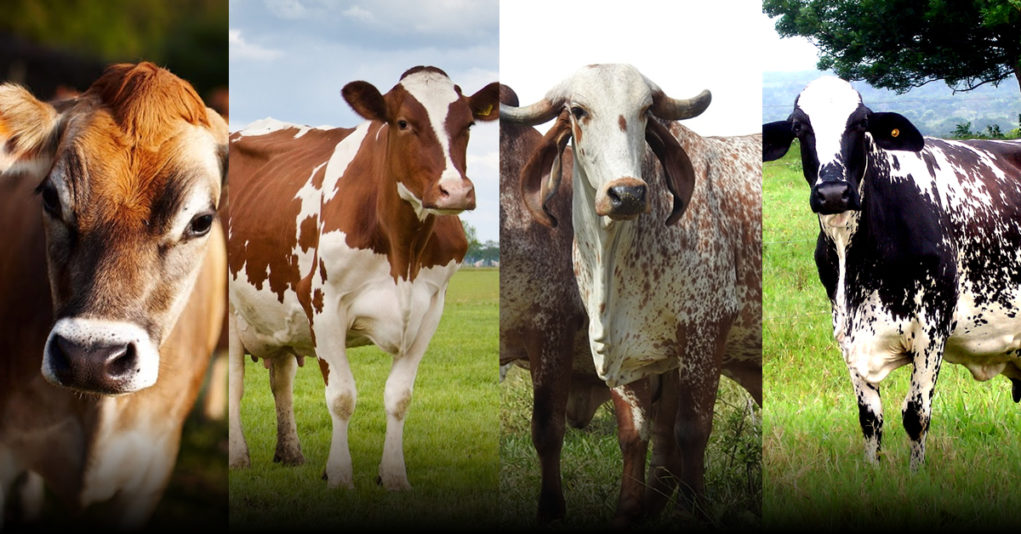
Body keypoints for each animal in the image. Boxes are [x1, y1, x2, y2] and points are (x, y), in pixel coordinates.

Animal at [230, 65, 502, 488]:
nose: (455, 192)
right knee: (233, 385)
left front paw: (393, 476)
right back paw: (237, 456)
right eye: (403, 123)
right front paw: (340, 475)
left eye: (468, 124)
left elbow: (399, 396)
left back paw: (290, 453)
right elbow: (342, 397)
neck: (403, 250)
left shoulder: (431, 308)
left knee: (281, 381)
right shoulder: (323, 304)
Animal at [763, 75, 1021, 467]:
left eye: (860, 123)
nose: (833, 193)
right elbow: (870, 419)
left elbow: (915, 416)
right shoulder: (848, 333)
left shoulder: (932, 330)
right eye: (798, 127)